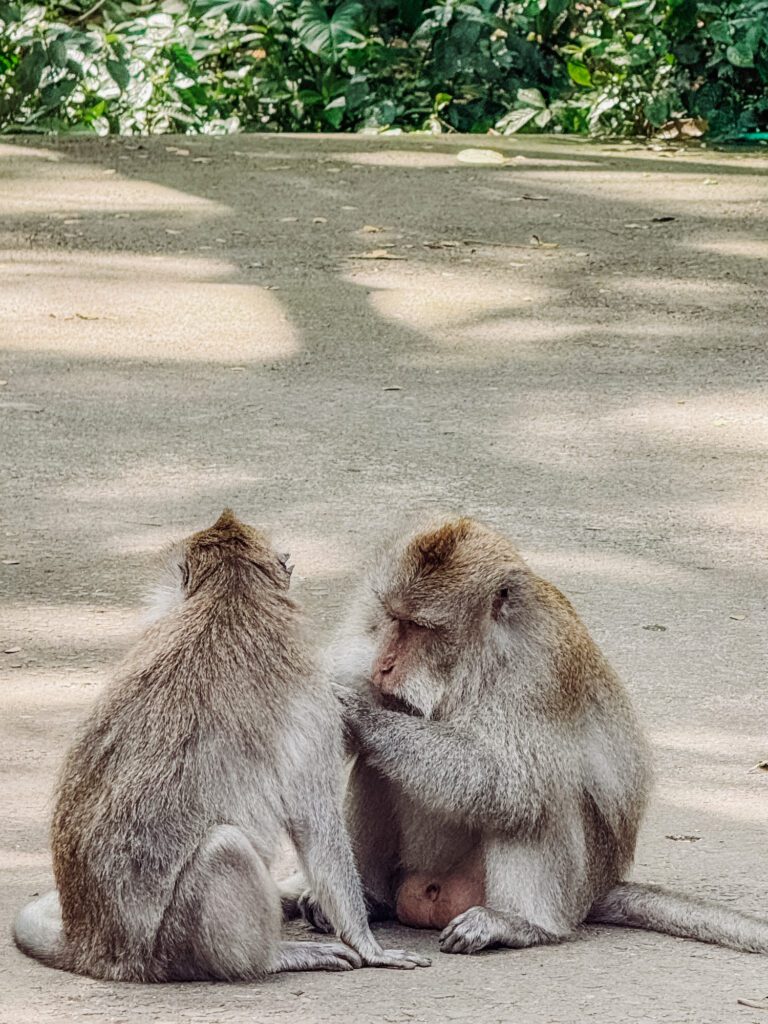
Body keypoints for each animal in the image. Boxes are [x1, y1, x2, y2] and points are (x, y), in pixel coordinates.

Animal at [13, 507, 434, 978]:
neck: (231, 594)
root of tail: (93, 947)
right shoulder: (311, 698)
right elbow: (315, 823)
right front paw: (367, 943)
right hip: (174, 946)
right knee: (224, 849)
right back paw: (273, 957)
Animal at [296, 520, 768, 958]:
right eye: (392, 620)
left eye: (419, 627)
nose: (386, 666)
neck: (475, 658)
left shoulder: (540, 668)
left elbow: (509, 780)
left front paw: (360, 715)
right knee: (379, 767)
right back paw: (370, 898)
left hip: (566, 886)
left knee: (539, 794)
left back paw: (519, 923)